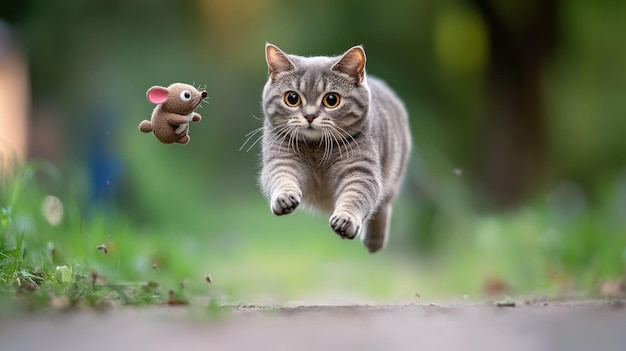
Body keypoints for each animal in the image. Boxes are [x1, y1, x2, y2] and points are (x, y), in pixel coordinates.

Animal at [258, 43, 410, 253]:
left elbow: (356, 194)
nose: (310, 116)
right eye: (292, 98)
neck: (317, 148)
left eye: (331, 100)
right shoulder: (281, 158)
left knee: (384, 206)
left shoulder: (361, 170)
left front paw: (346, 219)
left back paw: (374, 241)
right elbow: (281, 177)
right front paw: (285, 197)